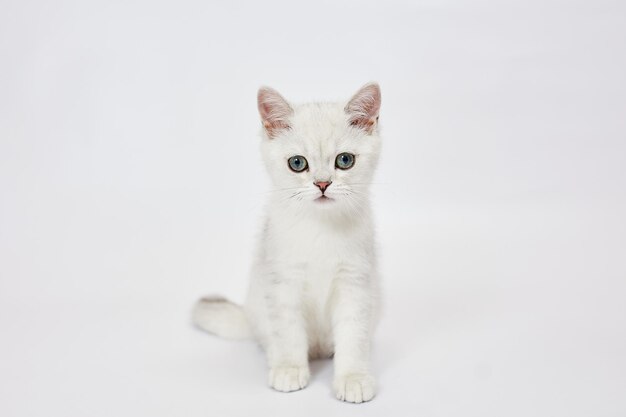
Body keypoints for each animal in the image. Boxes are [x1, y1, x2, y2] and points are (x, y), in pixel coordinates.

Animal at [193, 82, 380, 404]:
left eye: (344, 160)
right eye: (297, 163)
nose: (322, 184)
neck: (320, 226)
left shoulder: (355, 283)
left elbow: (353, 336)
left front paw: (353, 378)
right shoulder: (281, 282)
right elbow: (288, 332)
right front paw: (290, 369)